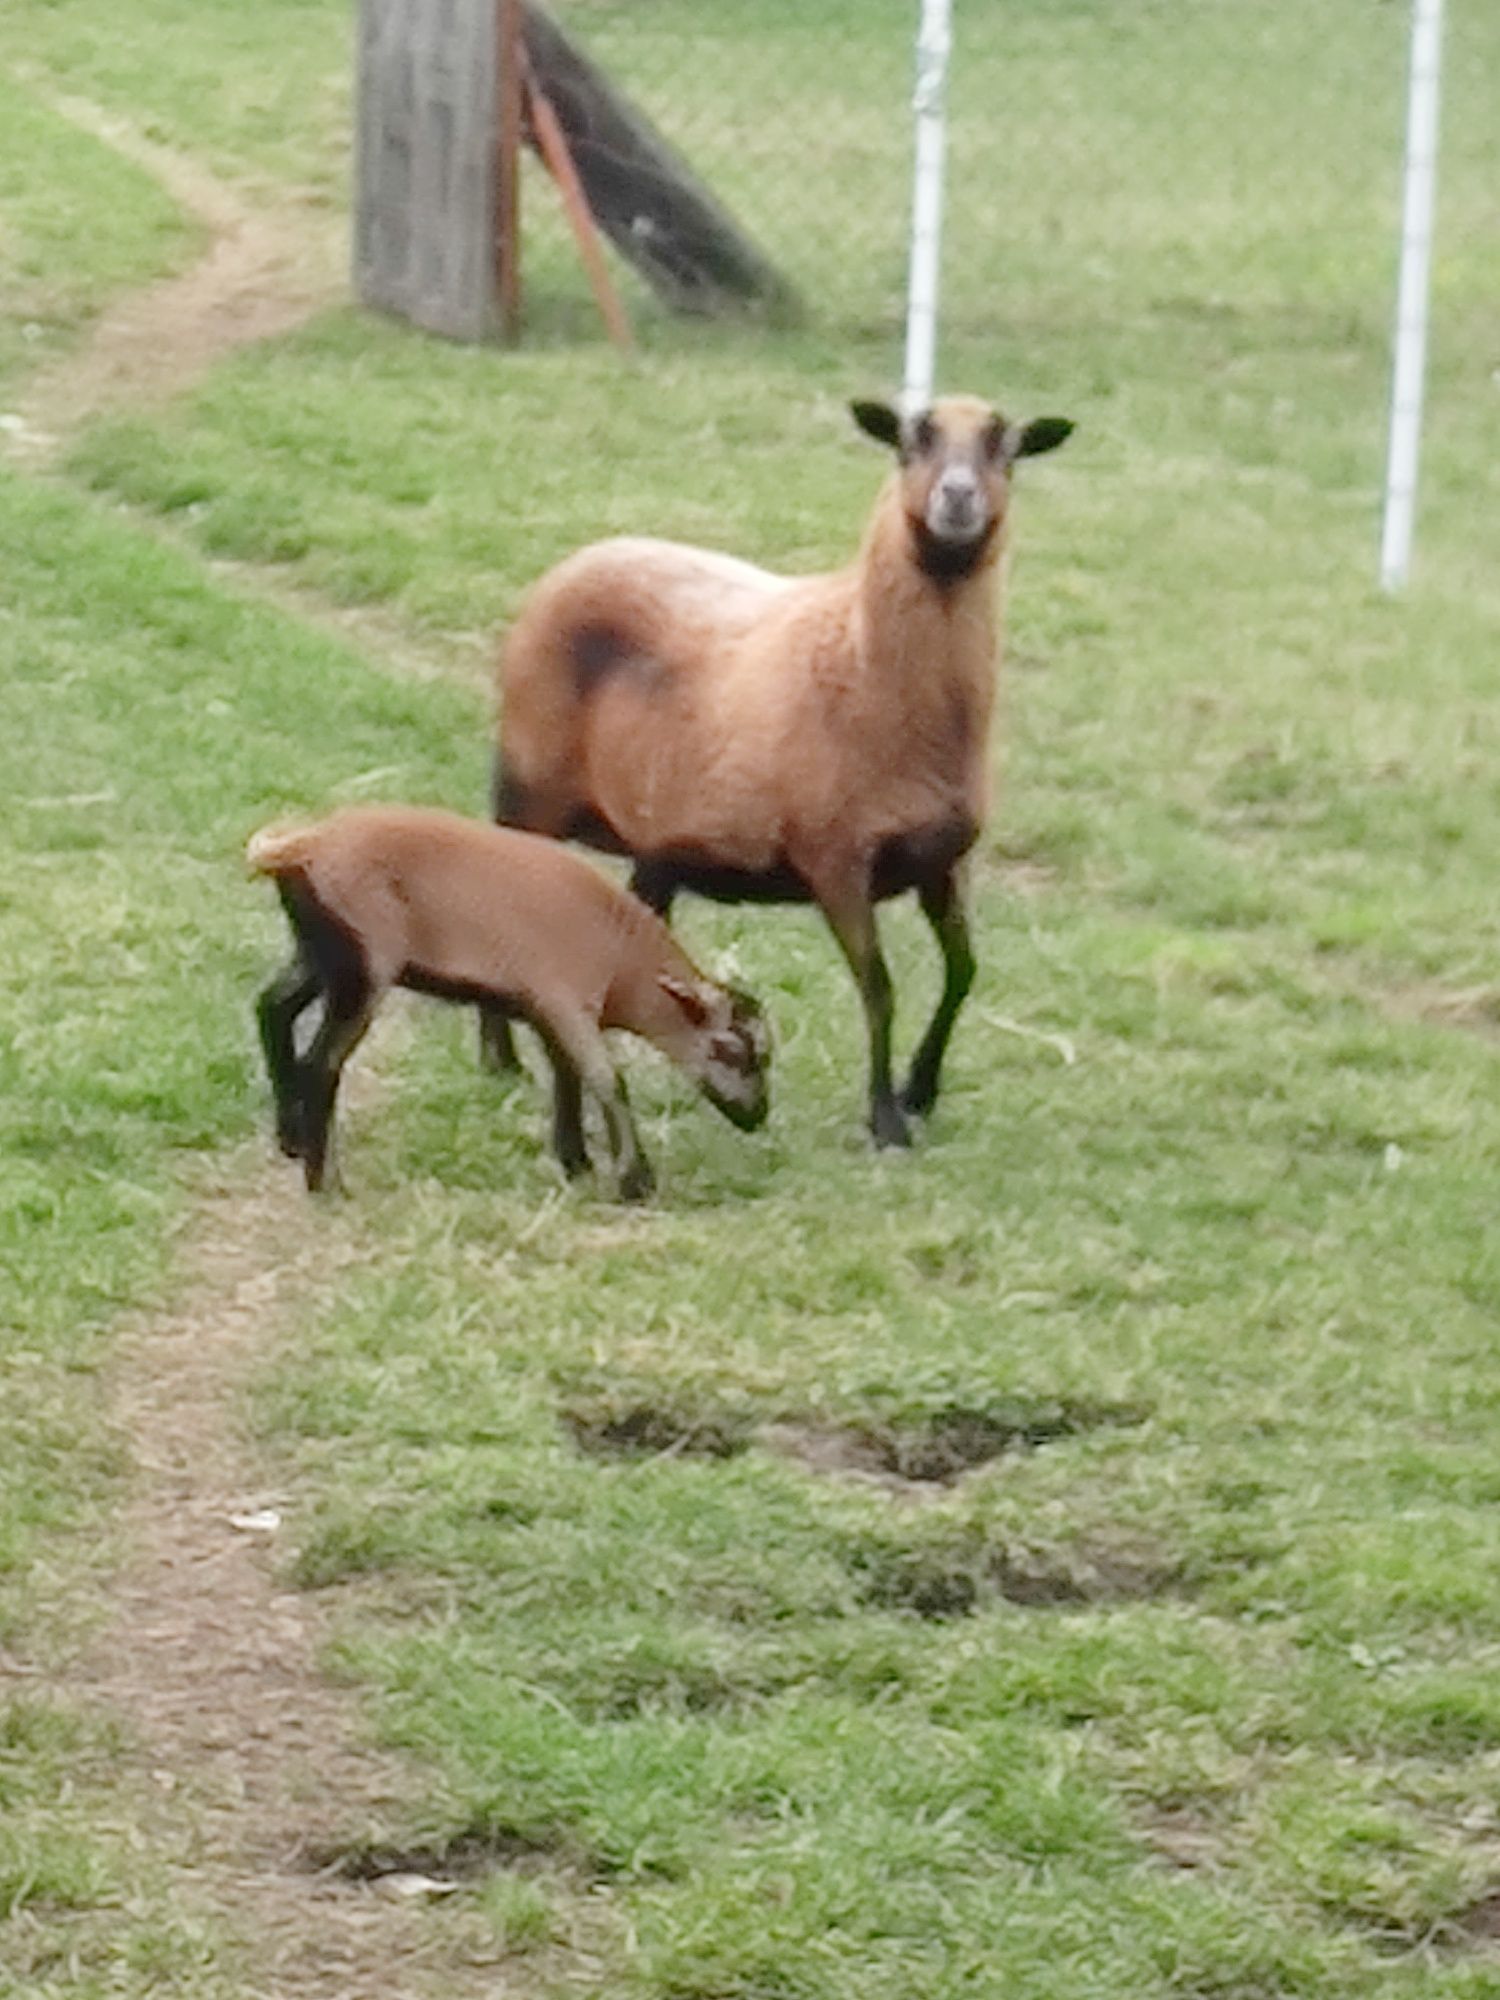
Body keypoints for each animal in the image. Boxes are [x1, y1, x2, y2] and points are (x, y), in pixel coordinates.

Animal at [245, 800, 768, 1200]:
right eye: (732, 1049)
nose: (758, 1116)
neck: (627, 967)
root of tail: (304, 846)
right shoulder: (567, 1000)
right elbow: (607, 1079)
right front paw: (634, 1182)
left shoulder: (545, 1010)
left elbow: (566, 1075)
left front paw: (576, 1162)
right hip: (365, 963)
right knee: (322, 1062)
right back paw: (325, 1184)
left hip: (320, 951)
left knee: (273, 1008)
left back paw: (291, 1139)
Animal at [490, 394, 1072, 1144]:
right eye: (911, 441)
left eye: (1007, 446)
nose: (958, 496)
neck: (859, 652)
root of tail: (568, 566)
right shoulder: (837, 860)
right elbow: (879, 991)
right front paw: (886, 1120)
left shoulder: (943, 860)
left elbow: (964, 972)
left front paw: (920, 1090)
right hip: (527, 796)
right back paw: (500, 1060)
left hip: (658, 846)